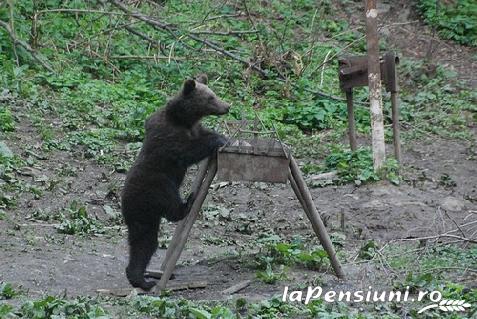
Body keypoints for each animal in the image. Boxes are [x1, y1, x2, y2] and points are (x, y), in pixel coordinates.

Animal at [120, 75, 230, 292]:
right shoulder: (168, 137)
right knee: (166, 212)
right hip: (157, 187)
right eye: (211, 97)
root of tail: (125, 202)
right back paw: (187, 203)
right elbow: (185, 151)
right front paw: (220, 138)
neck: (183, 119)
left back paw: (139, 278)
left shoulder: (193, 128)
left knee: (144, 243)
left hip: (145, 216)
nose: (227, 106)